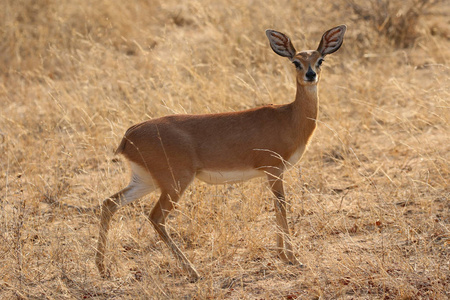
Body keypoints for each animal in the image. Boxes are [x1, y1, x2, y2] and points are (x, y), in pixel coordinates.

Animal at [96, 24, 348, 280]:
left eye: (320, 60)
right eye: (296, 62)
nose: (311, 75)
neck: (289, 117)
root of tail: (128, 136)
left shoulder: (272, 173)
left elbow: (277, 207)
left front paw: (283, 256)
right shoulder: (274, 169)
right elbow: (282, 206)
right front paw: (293, 258)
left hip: (145, 181)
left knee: (109, 203)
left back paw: (103, 269)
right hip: (175, 183)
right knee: (156, 217)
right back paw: (193, 271)